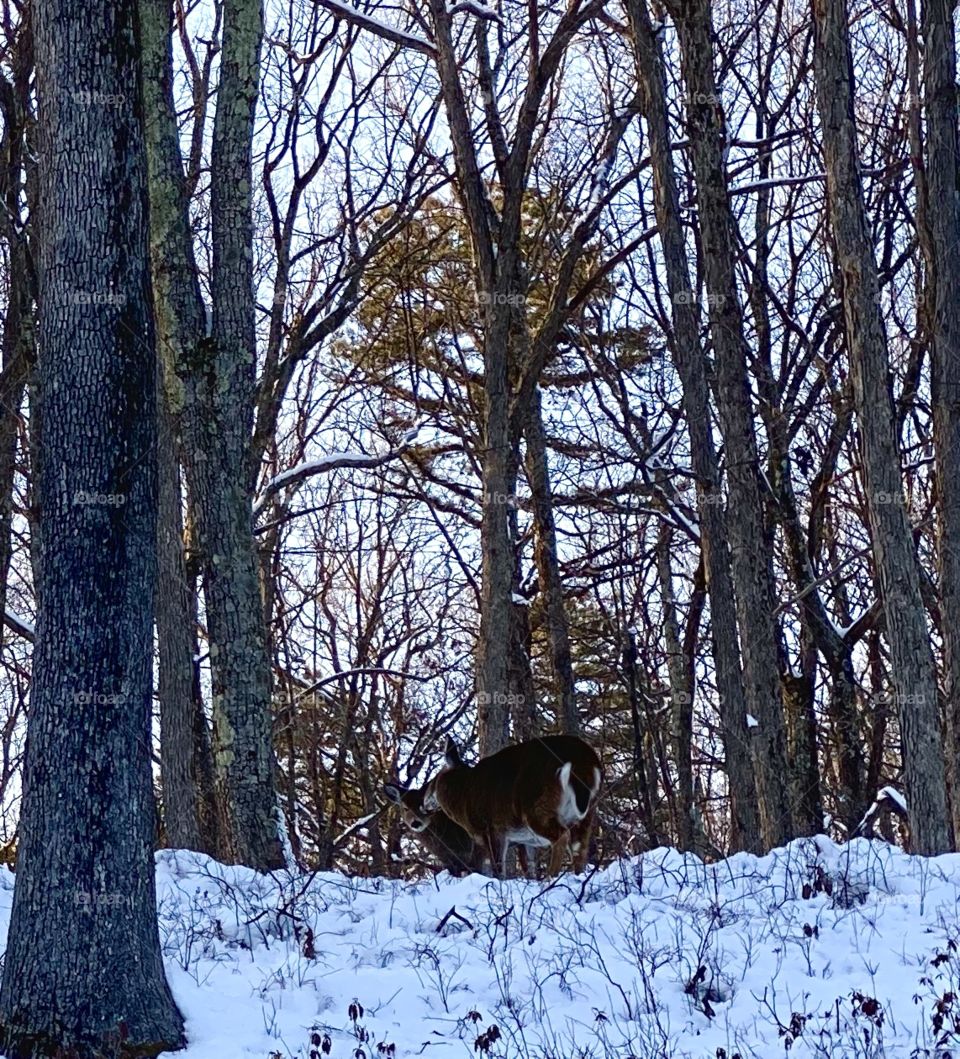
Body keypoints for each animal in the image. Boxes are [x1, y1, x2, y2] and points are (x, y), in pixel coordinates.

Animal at [421, 732, 601, 881]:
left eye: (432, 780)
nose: (423, 802)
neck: (462, 796)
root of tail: (584, 762)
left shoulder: (492, 828)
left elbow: (497, 868)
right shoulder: (526, 840)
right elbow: (530, 865)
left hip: (536, 807)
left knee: (562, 836)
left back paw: (550, 878)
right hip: (588, 811)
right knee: (579, 847)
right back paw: (577, 877)